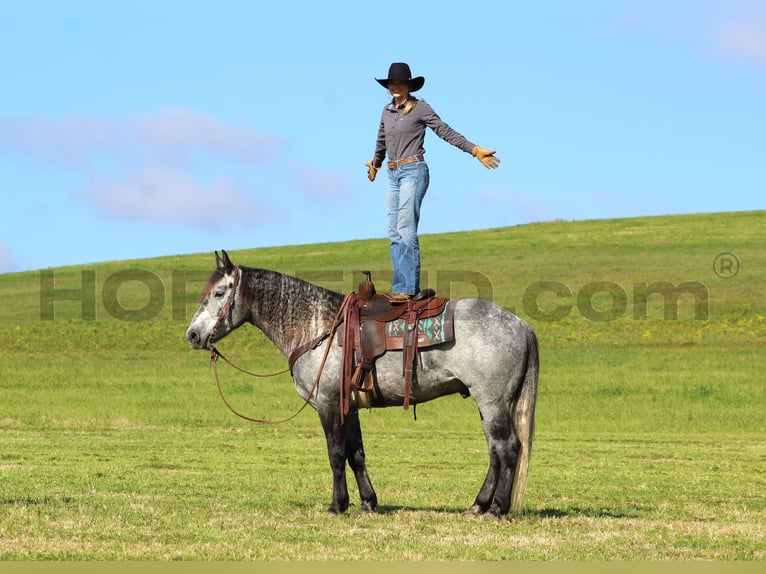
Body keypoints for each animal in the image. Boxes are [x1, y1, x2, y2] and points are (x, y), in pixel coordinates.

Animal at [186, 252, 540, 520]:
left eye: (219, 293)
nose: (192, 335)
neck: (316, 327)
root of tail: (519, 323)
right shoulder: (350, 407)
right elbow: (356, 454)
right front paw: (368, 502)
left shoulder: (328, 403)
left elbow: (335, 453)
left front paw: (337, 505)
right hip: (488, 405)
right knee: (495, 452)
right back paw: (477, 506)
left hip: (492, 402)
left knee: (508, 448)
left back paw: (495, 509)